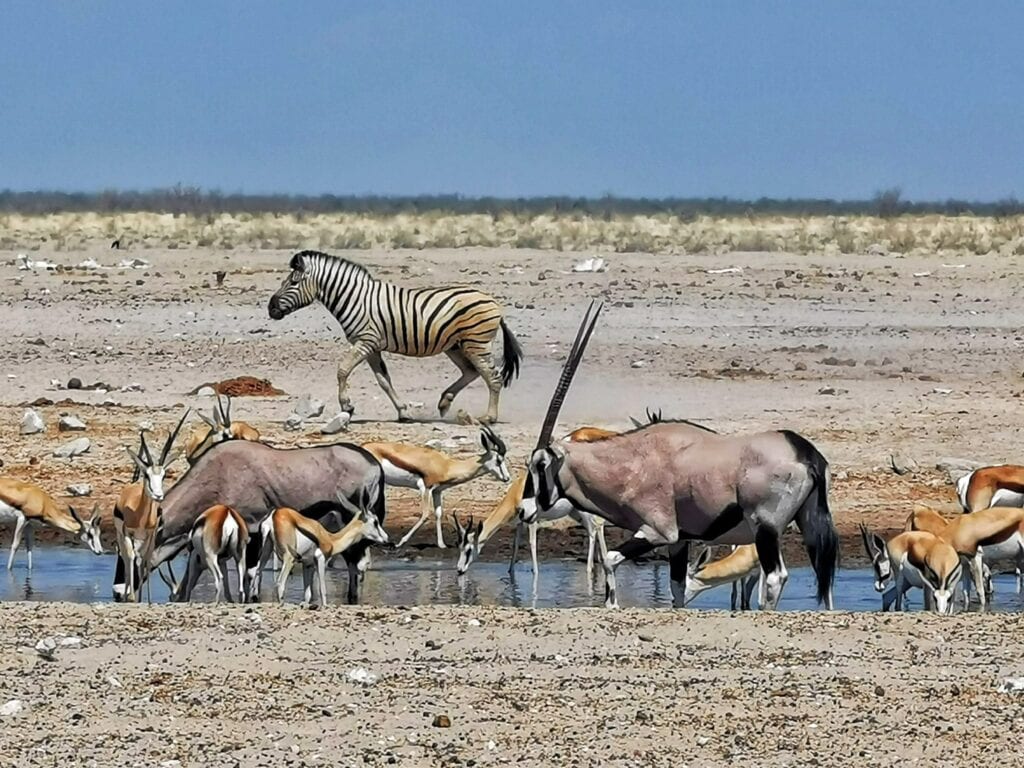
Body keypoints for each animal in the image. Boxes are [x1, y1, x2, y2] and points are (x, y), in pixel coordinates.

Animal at [267, 250, 524, 423]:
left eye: (292, 282)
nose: (270, 308)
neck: (354, 298)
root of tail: (493, 302)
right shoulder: (372, 347)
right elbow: (384, 381)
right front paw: (403, 412)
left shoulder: (365, 341)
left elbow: (342, 370)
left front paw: (347, 406)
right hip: (456, 345)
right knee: (471, 372)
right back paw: (444, 402)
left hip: (476, 343)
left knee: (493, 377)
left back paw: (489, 418)